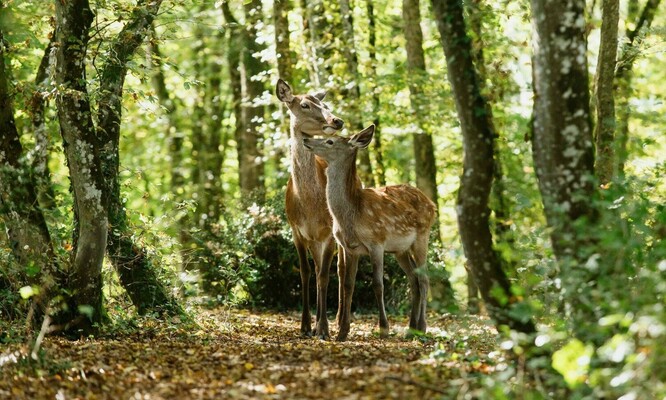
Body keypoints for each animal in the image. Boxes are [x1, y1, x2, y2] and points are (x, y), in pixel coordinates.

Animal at [274, 79, 348, 340]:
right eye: (305, 104)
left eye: (324, 104)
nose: (337, 120)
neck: (308, 204)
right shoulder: (296, 230)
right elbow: (305, 272)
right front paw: (305, 326)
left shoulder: (329, 231)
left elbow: (325, 275)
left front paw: (324, 328)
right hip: (314, 240)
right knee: (316, 269)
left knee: (340, 270)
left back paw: (338, 320)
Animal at [300, 125, 436, 340]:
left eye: (330, 141)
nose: (306, 140)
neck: (352, 215)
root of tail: (432, 204)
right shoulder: (350, 247)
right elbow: (348, 284)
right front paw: (342, 332)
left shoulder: (376, 242)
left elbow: (378, 284)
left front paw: (383, 328)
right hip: (400, 250)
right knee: (413, 279)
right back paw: (411, 328)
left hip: (422, 236)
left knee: (423, 279)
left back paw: (421, 327)